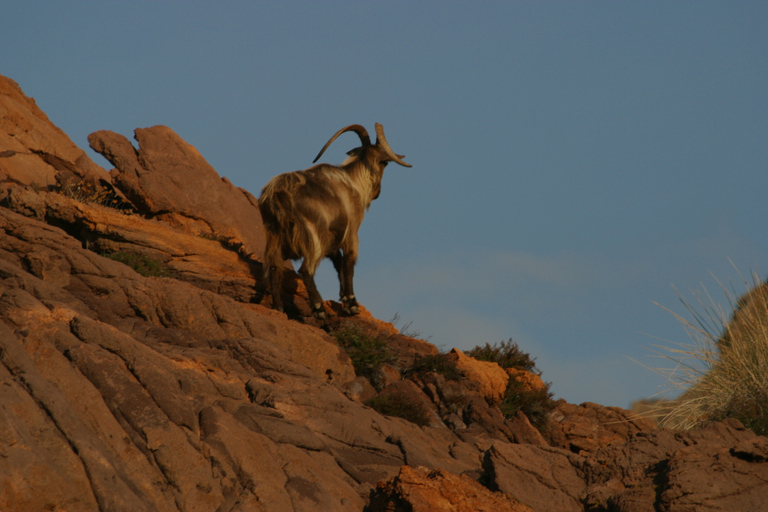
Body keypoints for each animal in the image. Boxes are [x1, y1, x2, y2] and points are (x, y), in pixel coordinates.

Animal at [258, 122, 412, 318]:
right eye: (384, 162)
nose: (377, 192)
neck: (354, 183)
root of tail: (276, 194)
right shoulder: (351, 232)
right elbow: (348, 264)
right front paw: (352, 305)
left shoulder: (333, 240)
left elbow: (338, 264)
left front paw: (345, 299)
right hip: (312, 236)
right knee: (305, 270)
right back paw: (319, 308)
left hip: (274, 236)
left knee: (274, 269)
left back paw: (279, 308)